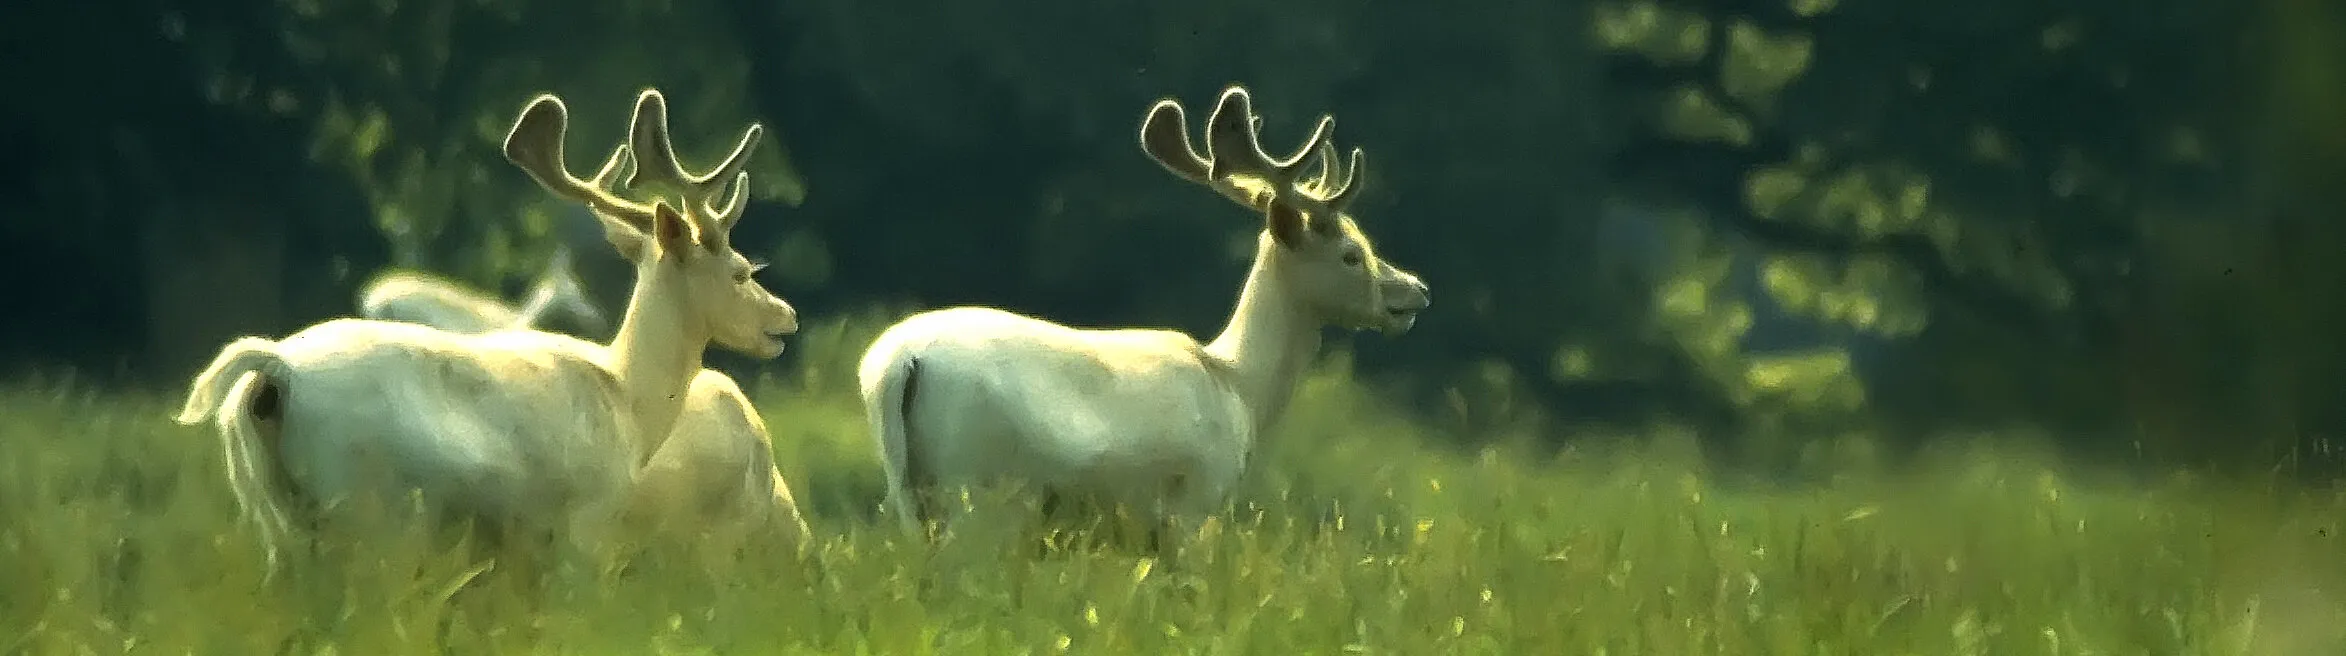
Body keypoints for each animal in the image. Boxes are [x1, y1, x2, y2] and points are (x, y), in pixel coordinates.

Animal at [173, 87, 805, 575]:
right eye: (742, 270)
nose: (785, 317)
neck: (629, 400)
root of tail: (275, 369)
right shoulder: (582, 527)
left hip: (273, 519)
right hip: (365, 508)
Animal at [854, 85, 1431, 550]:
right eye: (1352, 254)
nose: (1415, 291)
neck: (1239, 387)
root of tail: (899, 364)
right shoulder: (1192, 504)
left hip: (908, 491)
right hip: (975, 486)